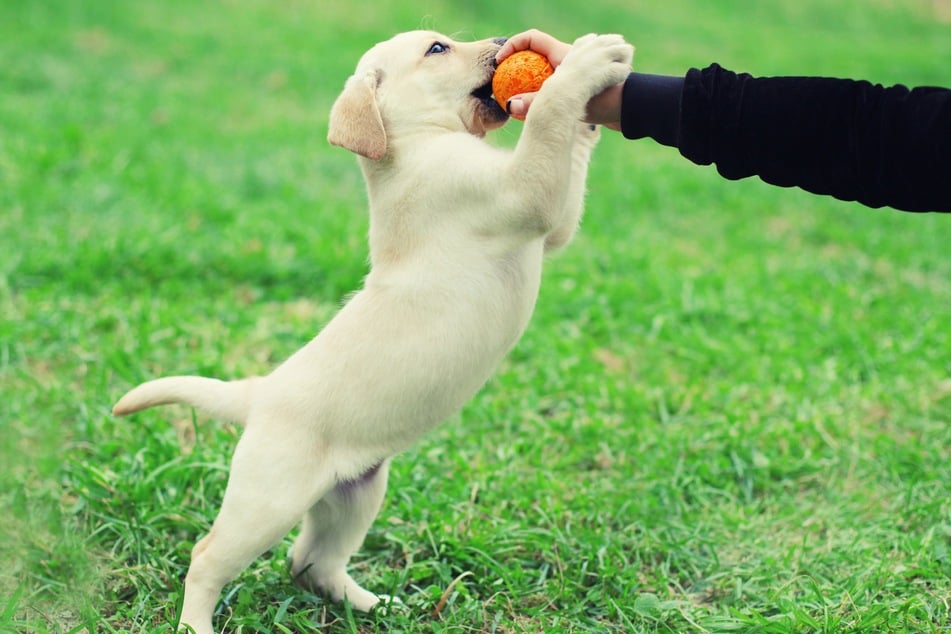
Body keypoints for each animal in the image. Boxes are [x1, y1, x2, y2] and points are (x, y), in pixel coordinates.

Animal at [113, 29, 632, 632]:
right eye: (437, 49)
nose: (505, 40)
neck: (414, 144)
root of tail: (259, 393)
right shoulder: (522, 193)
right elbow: (549, 118)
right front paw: (586, 64)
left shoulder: (549, 222)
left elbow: (569, 162)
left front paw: (588, 97)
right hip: (266, 501)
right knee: (207, 558)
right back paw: (196, 623)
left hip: (355, 493)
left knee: (310, 561)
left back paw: (371, 604)